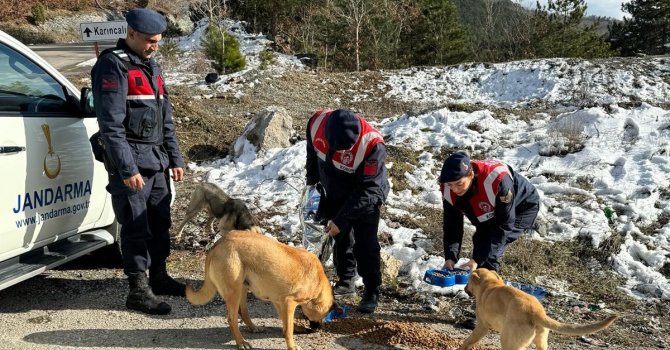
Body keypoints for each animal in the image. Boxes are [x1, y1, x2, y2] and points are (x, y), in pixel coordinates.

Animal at [186, 230, 336, 350]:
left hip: (242, 288)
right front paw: (292, 346)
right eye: (324, 314)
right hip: (234, 291)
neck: (319, 282)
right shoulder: (289, 302)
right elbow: (288, 330)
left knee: (243, 312)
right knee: (232, 319)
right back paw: (241, 342)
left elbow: (286, 322)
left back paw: (253, 328)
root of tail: (217, 244)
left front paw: (296, 328)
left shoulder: (279, 301)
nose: (318, 328)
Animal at [462, 266, 620, 348]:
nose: (464, 288)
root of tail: (536, 312)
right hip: (541, 341)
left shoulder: (482, 326)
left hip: (508, 341)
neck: (490, 283)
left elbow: (469, 341)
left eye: (468, 281)